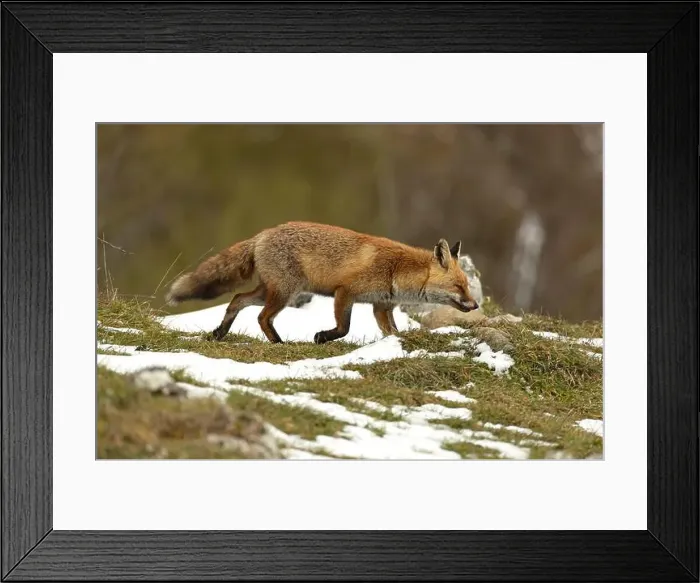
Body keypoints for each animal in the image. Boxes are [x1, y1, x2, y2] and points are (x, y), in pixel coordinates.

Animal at [165, 221, 479, 344]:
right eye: (458, 287)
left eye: (466, 286)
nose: (475, 305)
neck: (396, 270)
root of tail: (263, 234)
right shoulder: (345, 292)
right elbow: (344, 328)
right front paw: (322, 337)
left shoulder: (381, 306)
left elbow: (393, 332)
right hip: (285, 293)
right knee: (262, 317)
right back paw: (279, 343)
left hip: (270, 290)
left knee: (237, 300)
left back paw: (220, 332)